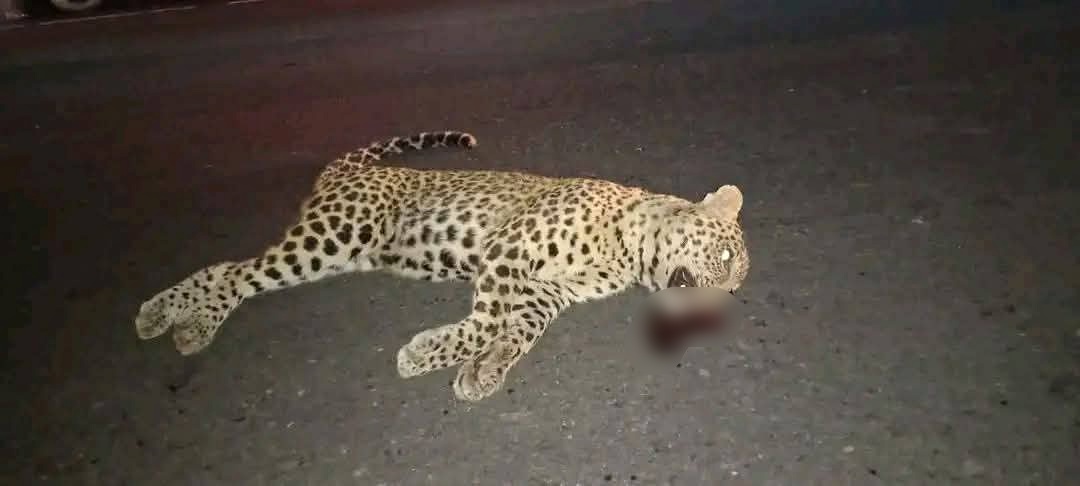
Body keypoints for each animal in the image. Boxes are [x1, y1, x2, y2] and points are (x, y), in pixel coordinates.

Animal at [134, 130, 750, 402]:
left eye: (731, 294)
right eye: (722, 258)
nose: (712, 312)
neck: (629, 250)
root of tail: (354, 167)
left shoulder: (545, 290)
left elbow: (520, 330)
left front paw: (484, 370)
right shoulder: (510, 251)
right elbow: (487, 320)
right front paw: (426, 354)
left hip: (331, 254)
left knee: (229, 270)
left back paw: (171, 319)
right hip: (331, 236)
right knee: (234, 272)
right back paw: (182, 322)